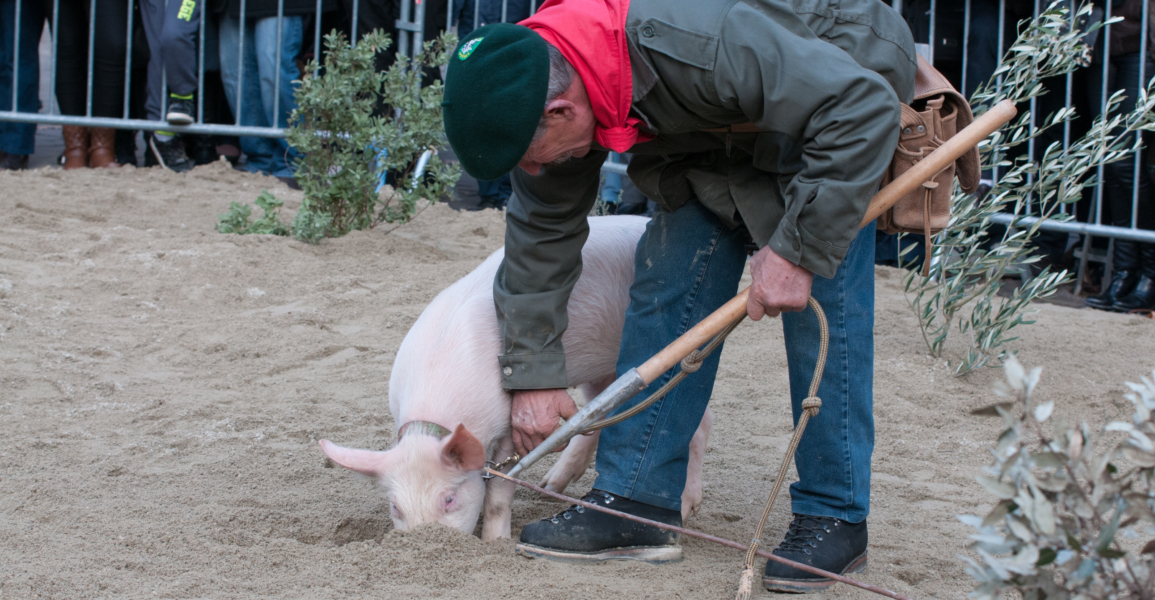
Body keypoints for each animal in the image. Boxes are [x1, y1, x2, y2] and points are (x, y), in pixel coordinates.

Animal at [318, 217, 711, 545]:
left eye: (449, 499)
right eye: (395, 507)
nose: (425, 545)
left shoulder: (509, 425)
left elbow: (498, 493)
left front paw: (496, 543)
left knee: (695, 422)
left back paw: (686, 508)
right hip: (601, 371)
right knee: (600, 416)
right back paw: (547, 485)